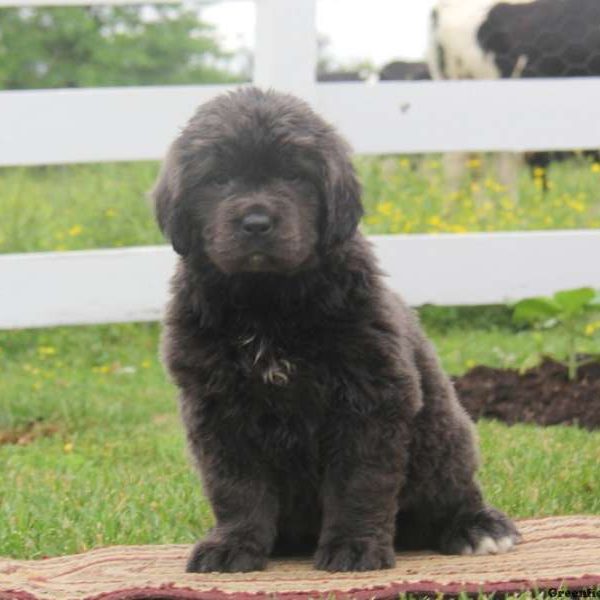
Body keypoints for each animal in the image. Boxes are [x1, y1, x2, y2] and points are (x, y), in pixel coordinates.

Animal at [151, 88, 520, 572]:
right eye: (218, 178)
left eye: (294, 175)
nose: (256, 223)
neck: (266, 304)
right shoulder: (217, 408)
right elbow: (235, 487)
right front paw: (233, 546)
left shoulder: (368, 400)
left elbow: (358, 483)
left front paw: (353, 546)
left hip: (444, 438)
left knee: (453, 493)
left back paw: (476, 527)